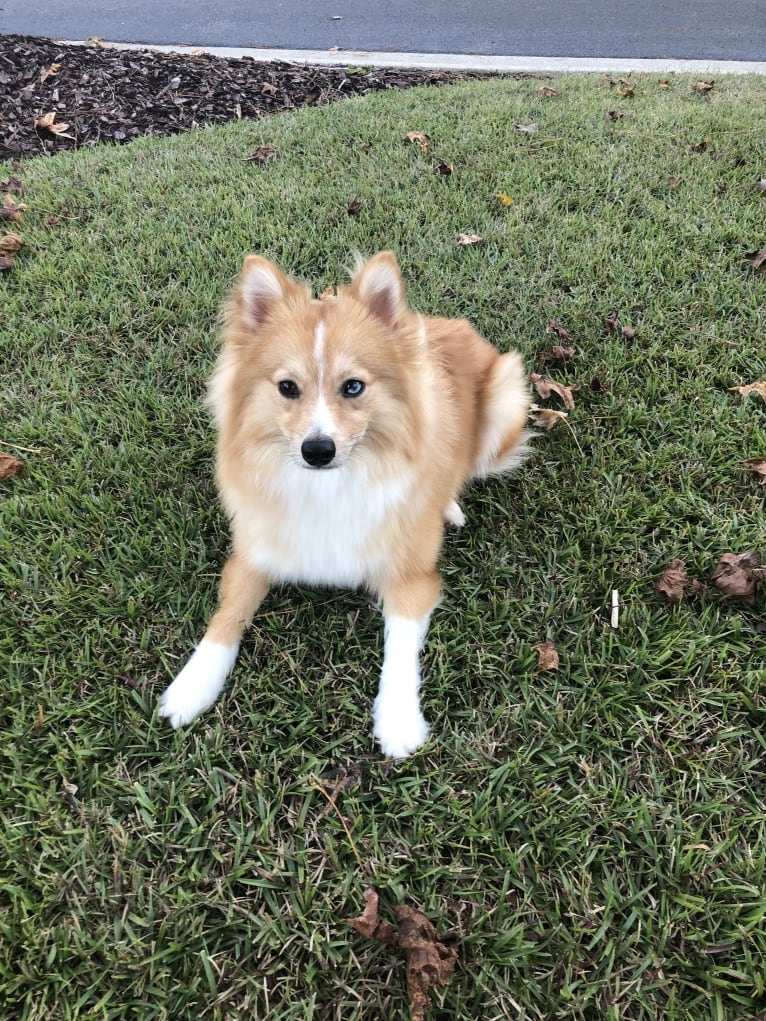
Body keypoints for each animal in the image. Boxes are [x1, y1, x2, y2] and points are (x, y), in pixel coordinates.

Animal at [160, 251, 535, 755]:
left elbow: (399, 650)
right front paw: (192, 686)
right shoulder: (251, 557)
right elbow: (224, 621)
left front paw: (398, 720)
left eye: (353, 386)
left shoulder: (411, 577)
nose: (317, 450)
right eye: (287, 387)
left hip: (505, 399)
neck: (330, 486)